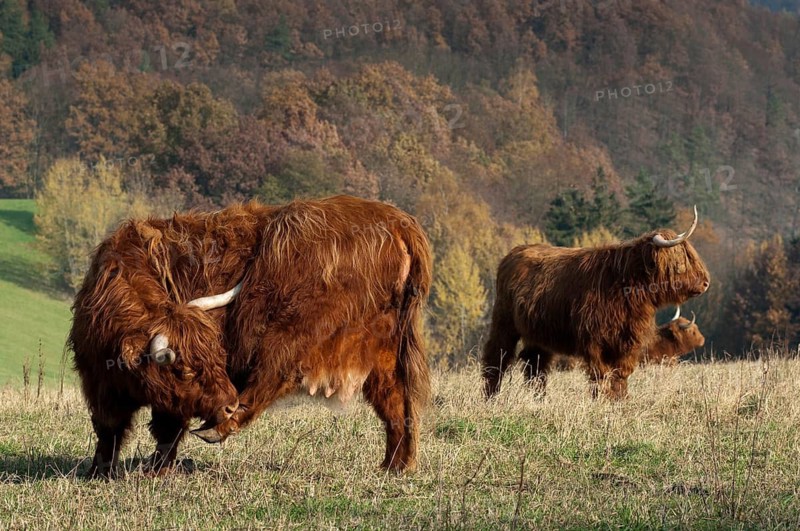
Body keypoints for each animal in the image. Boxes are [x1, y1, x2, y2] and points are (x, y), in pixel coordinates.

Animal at [71, 195, 432, 477]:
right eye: (184, 370)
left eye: (217, 359)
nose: (226, 404)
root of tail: (398, 222)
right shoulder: (100, 381)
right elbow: (110, 429)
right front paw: (100, 471)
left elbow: (164, 429)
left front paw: (153, 471)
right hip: (384, 347)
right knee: (396, 402)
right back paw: (396, 466)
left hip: (293, 331)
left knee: (274, 375)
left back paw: (219, 427)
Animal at [482, 207, 710, 400]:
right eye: (681, 261)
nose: (706, 283)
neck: (626, 285)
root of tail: (513, 253)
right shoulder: (594, 341)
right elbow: (601, 373)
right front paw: (601, 399)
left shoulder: (628, 341)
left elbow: (621, 373)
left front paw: (620, 400)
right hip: (504, 322)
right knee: (497, 356)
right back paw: (491, 396)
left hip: (538, 333)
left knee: (535, 362)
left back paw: (539, 399)